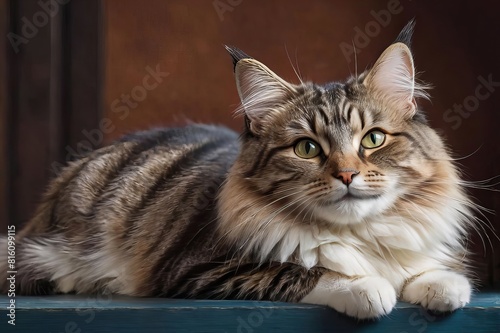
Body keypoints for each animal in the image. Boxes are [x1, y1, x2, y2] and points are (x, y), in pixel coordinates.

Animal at [0, 21, 476, 320]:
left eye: (373, 140)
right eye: (307, 148)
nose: (346, 175)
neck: (357, 233)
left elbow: (426, 271)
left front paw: (444, 286)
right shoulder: (200, 270)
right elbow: (306, 271)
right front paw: (368, 287)